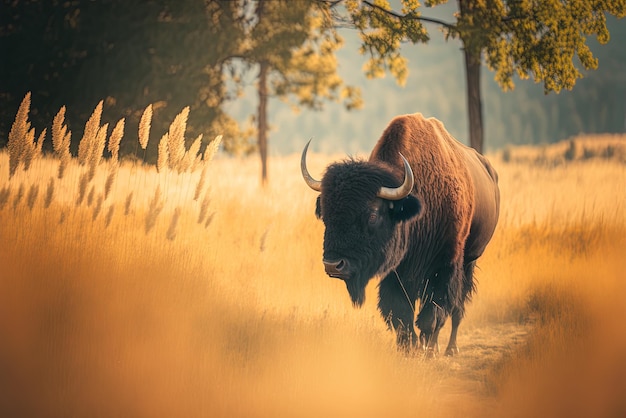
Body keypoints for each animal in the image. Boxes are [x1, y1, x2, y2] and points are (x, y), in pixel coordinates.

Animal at [300, 112, 500, 354]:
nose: (333, 265)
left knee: (457, 309)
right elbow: (400, 314)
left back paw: (449, 349)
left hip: (470, 259)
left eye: (373, 215)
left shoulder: (445, 265)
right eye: (326, 214)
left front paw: (426, 350)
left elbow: (433, 314)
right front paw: (407, 349)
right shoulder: (395, 273)